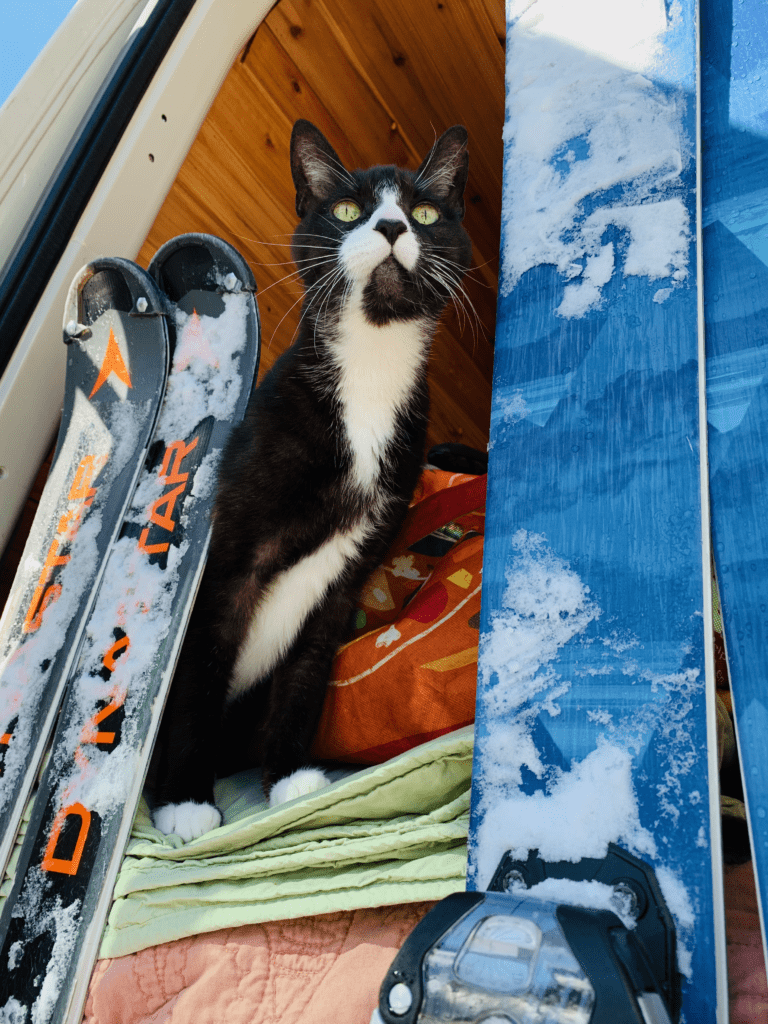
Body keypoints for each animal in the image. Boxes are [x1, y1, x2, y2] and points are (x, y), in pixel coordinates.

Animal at [153, 119, 473, 839]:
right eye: (348, 209)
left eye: (426, 213)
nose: (392, 226)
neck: (370, 370)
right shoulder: (226, 560)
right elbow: (196, 674)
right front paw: (185, 802)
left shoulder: (349, 569)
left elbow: (305, 669)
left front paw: (290, 779)